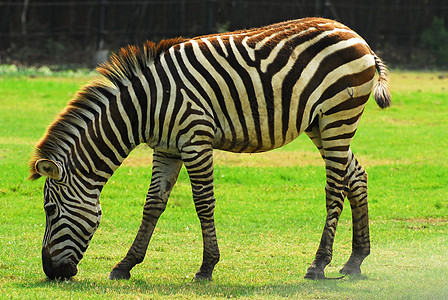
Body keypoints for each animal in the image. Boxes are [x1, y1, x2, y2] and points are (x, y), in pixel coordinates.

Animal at [29, 17, 390, 282]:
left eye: (49, 210)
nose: (51, 272)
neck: (145, 107)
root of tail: (355, 35)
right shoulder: (166, 150)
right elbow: (153, 205)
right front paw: (125, 265)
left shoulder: (196, 140)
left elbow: (203, 203)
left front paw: (207, 267)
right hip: (320, 124)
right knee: (356, 176)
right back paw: (355, 260)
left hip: (338, 116)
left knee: (335, 188)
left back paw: (318, 265)